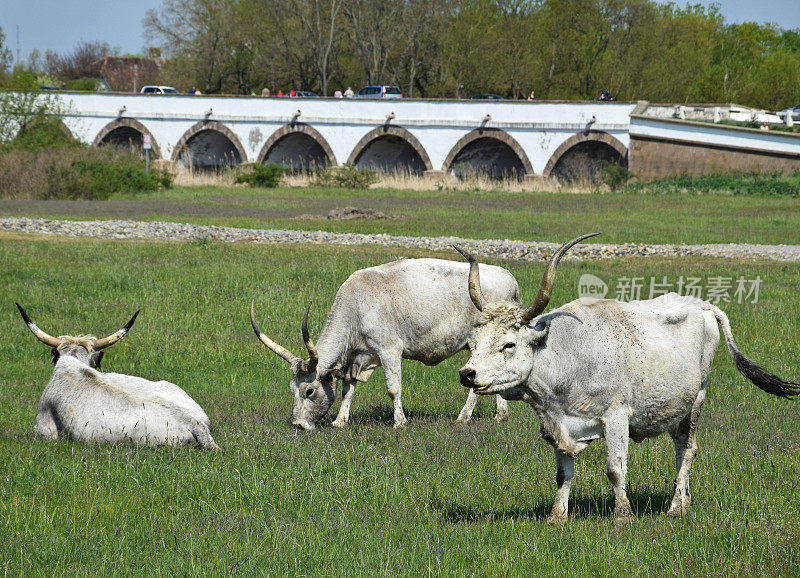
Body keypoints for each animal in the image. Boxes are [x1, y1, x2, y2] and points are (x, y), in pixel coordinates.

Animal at [253, 256, 520, 428]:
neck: (357, 307)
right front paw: (340, 421)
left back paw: (463, 418)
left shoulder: (389, 350)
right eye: (292, 390)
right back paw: (501, 416)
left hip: (477, 343)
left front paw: (399, 422)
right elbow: (348, 390)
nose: (298, 424)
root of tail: (508, 276)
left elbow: (393, 388)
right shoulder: (355, 359)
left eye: (309, 391)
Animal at [456, 235, 800, 520]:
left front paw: (623, 516)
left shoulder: (617, 416)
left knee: (687, 450)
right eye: (476, 339)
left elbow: (615, 469)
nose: (467, 374)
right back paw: (685, 500)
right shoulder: (556, 422)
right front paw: (557, 517)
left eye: (508, 344)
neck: (566, 355)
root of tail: (702, 305)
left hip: (697, 399)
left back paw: (676, 507)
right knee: (683, 447)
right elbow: (562, 474)